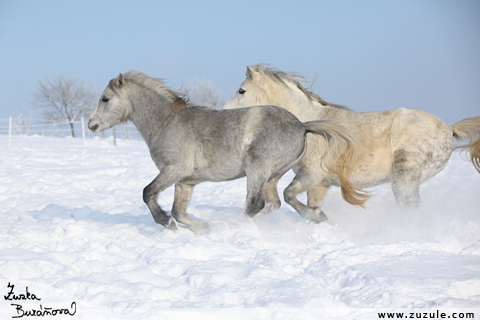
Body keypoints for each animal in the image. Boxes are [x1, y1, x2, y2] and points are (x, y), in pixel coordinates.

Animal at [88, 71, 358, 231]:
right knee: (273, 203)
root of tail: (302, 125)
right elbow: (179, 211)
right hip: (272, 176)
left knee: (254, 205)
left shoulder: (174, 170)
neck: (166, 122)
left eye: (105, 99)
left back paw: (233, 227)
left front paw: (167, 223)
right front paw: (201, 227)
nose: (91, 125)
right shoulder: (186, 181)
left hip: (257, 171)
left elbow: (147, 193)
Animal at [225, 63, 480, 221]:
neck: (309, 124)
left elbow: (288, 195)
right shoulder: (320, 183)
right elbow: (306, 203)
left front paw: (317, 217)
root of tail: (449, 128)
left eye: (241, 90)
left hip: (405, 175)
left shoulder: (312, 174)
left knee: (408, 206)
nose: (226, 112)